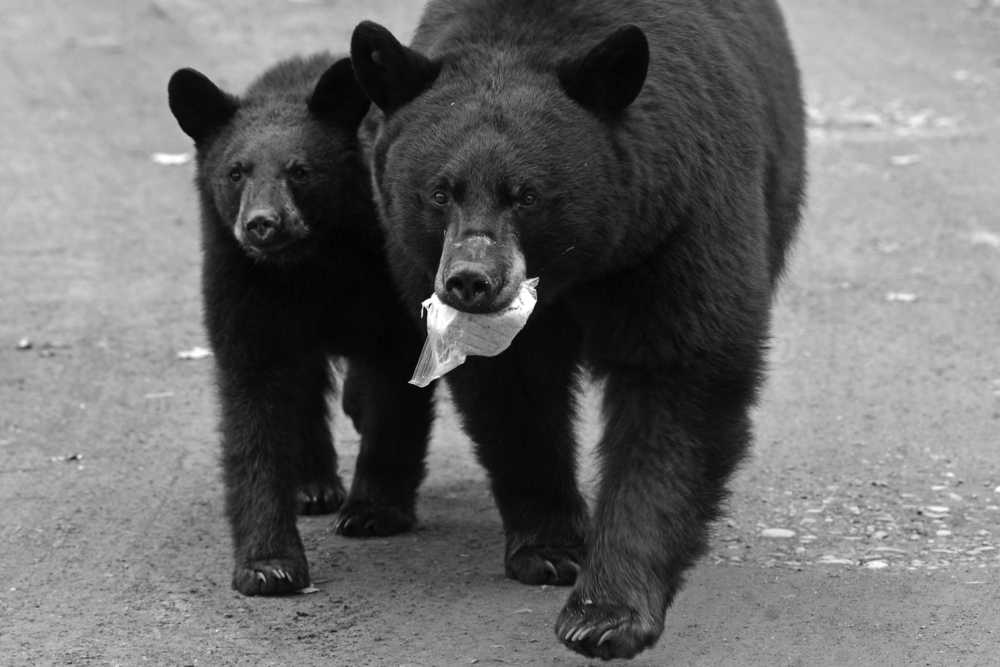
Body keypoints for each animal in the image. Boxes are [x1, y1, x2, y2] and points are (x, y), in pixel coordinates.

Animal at [167, 54, 434, 596]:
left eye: (301, 170)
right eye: (235, 172)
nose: (262, 223)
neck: (308, 262)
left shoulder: (383, 274)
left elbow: (397, 376)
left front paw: (373, 511)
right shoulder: (241, 282)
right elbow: (254, 407)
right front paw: (268, 564)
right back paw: (312, 485)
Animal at [352, 0, 804, 656]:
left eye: (527, 194)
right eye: (438, 192)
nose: (470, 281)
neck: (578, 268)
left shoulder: (679, 220)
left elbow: (679, 380)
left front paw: (607, 610)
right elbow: (511, 395)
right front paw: (550, 547)